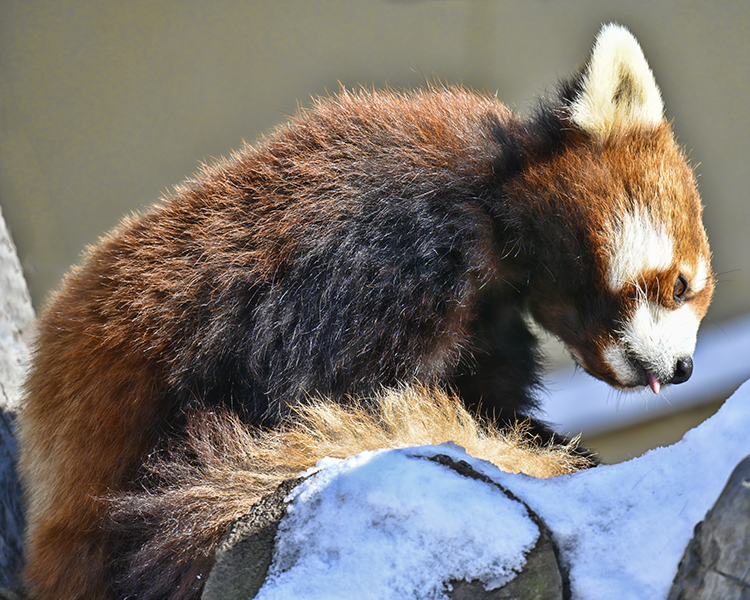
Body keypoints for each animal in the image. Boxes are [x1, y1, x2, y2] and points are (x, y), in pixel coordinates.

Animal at [14, 23, 712, 600]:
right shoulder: (370, 258)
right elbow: (323, 388)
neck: (494, 213)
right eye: (680, 285)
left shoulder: (487, 323)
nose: (682, 368)